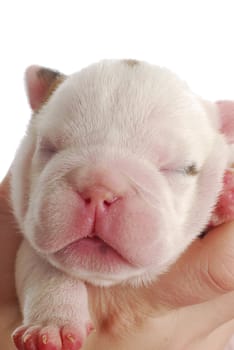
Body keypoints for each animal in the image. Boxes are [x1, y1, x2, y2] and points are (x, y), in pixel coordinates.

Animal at [10, 59, 234, 348]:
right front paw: (51, 326)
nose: (98, 189)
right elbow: (46, 272)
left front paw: (224, 196)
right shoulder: (31, 245)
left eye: (180, 169)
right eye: (49, 147)